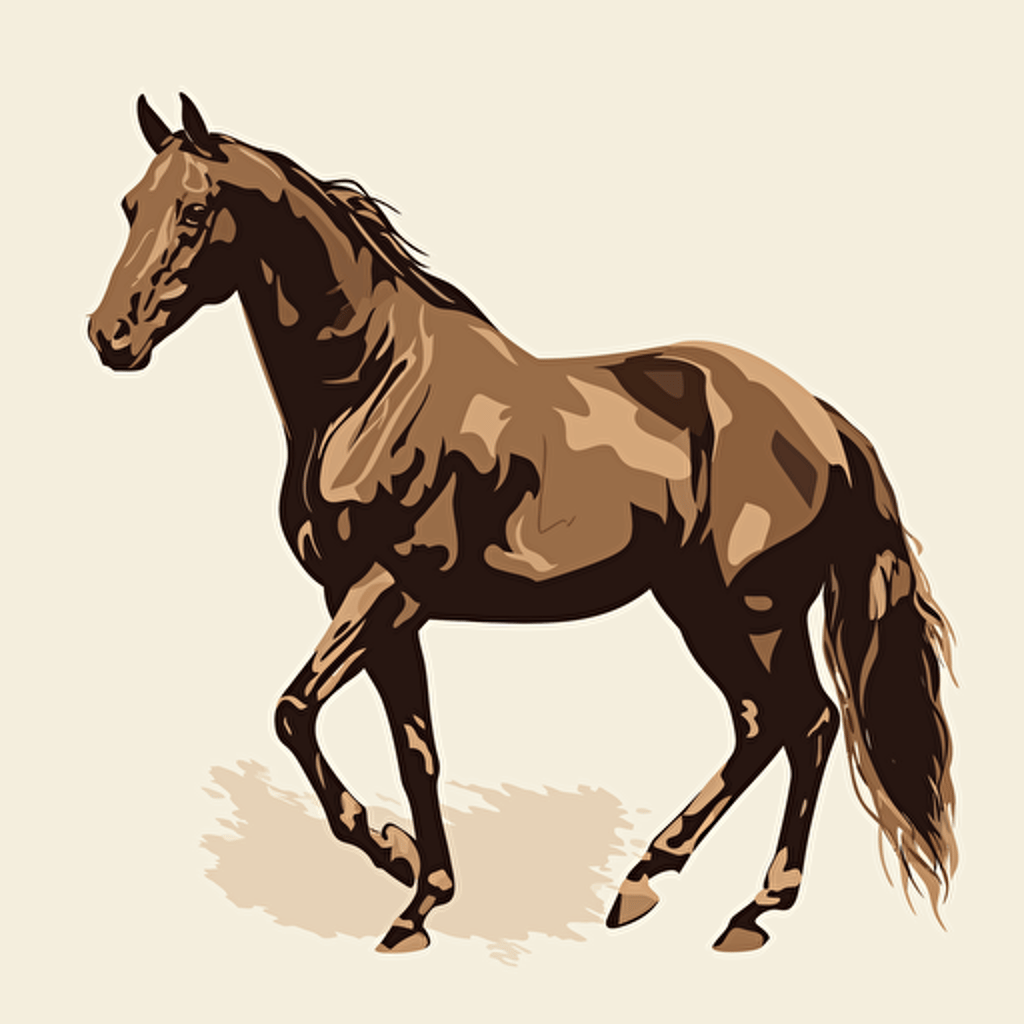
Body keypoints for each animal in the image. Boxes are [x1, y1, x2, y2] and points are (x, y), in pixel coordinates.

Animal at [88, 95, 956, 955]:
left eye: (193, 211)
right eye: (130, 205)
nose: (109, 336)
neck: (373, 385)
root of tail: (823, 420)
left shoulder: (388, 589)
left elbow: (294, 713)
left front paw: (390, 851)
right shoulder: (375, 608)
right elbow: (416, 752)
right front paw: (421, 900)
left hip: (756, 610)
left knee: (809, 724)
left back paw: (752, 911)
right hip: (700, 608)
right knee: (759, 726)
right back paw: (646, 881)